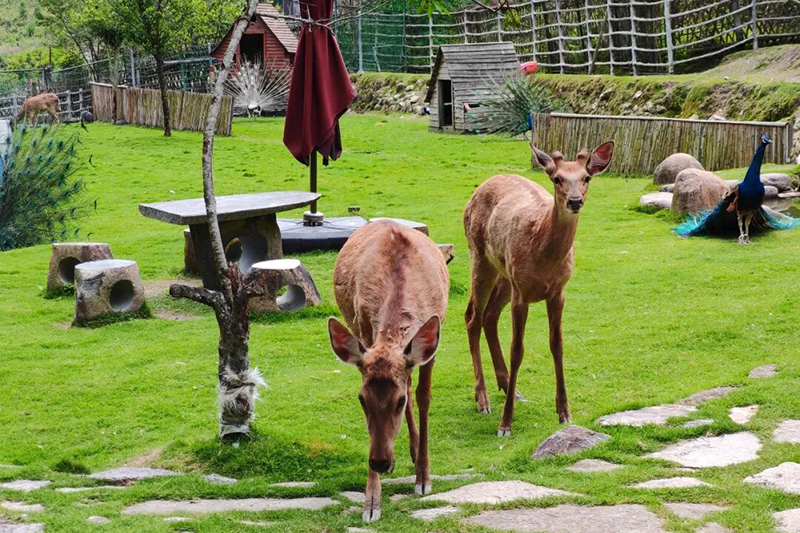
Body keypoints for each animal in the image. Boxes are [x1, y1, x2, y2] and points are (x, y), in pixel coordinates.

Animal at [327, 220, 449, 523]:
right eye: (361, 399)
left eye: (398, 402)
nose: (380, 462)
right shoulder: (364, 327)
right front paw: (371, 502)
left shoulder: (433, 341)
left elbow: (423, 397)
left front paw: (423, 478)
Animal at [463, 140, 615, 436]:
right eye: (557, 179)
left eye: (586, 178)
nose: (575, 201)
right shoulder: (521, 294)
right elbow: (517, 350)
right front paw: (505, 424)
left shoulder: (558, 292)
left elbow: (557, 345)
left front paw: (565, 412)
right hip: (480, 257)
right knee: (472, 317)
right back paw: (483, 399)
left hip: (505, 275)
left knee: (488, 316)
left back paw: (508, 387)